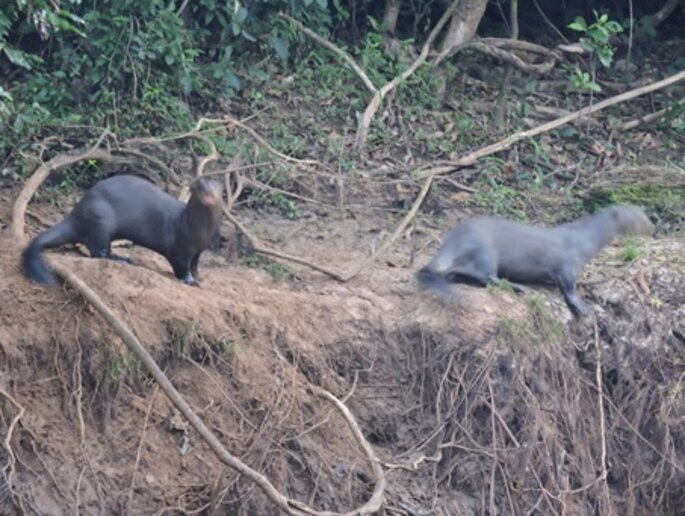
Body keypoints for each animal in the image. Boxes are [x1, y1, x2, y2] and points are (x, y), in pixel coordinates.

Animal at [21, 173, 223, 286]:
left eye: (215, 187)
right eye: (199, 186)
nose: (207, 192)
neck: (198, 229)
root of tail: (77, 212)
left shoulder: (199, 250)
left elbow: (195, 264)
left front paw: (199, 276)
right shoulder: (181, 248)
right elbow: (181, 266)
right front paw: (190, 281)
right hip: (101, 221)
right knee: (98, 252)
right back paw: (123, 259)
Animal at [416, 205, 652, 314]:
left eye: (643, 213)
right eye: (637, 217)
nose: (650, 224)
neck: (585, 239)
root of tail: (451, 241)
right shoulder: (569, 263)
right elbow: (569, 287)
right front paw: (581, 305)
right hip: (485, 252)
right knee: (486, 277)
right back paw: (519, 287)